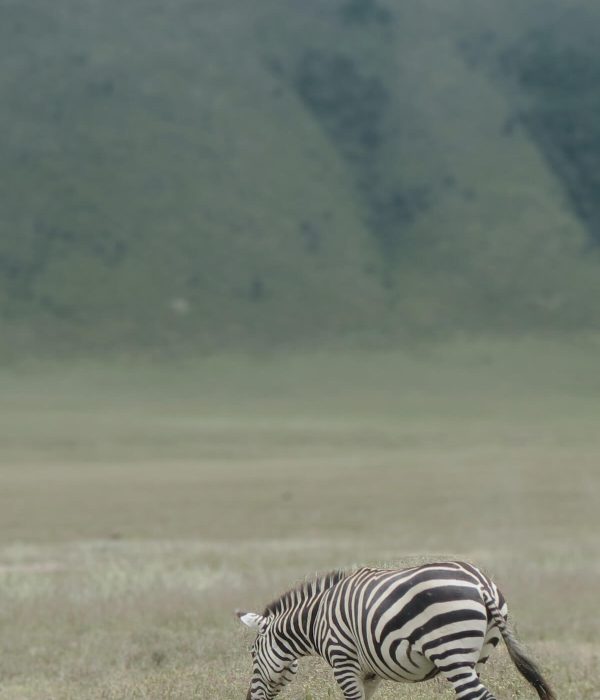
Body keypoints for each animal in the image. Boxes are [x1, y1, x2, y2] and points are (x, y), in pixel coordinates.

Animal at [236, 560, 554, 700]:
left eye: (252, 654)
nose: (249, 699)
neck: (315, 621)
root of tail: (480, 584)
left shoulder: (343, 661)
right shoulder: (369, 673)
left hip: (450, 651)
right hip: (476, 655)